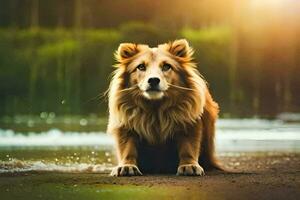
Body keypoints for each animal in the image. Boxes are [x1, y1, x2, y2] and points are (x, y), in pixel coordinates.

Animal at [106, 39, 221, 177]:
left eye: (166, 66)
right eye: (141, 67)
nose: (153, 80)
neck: (155, 108)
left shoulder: (188, 122)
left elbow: (189, 147)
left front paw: (189, 165)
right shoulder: (126, 124)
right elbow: (127, 148)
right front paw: (127, 166)